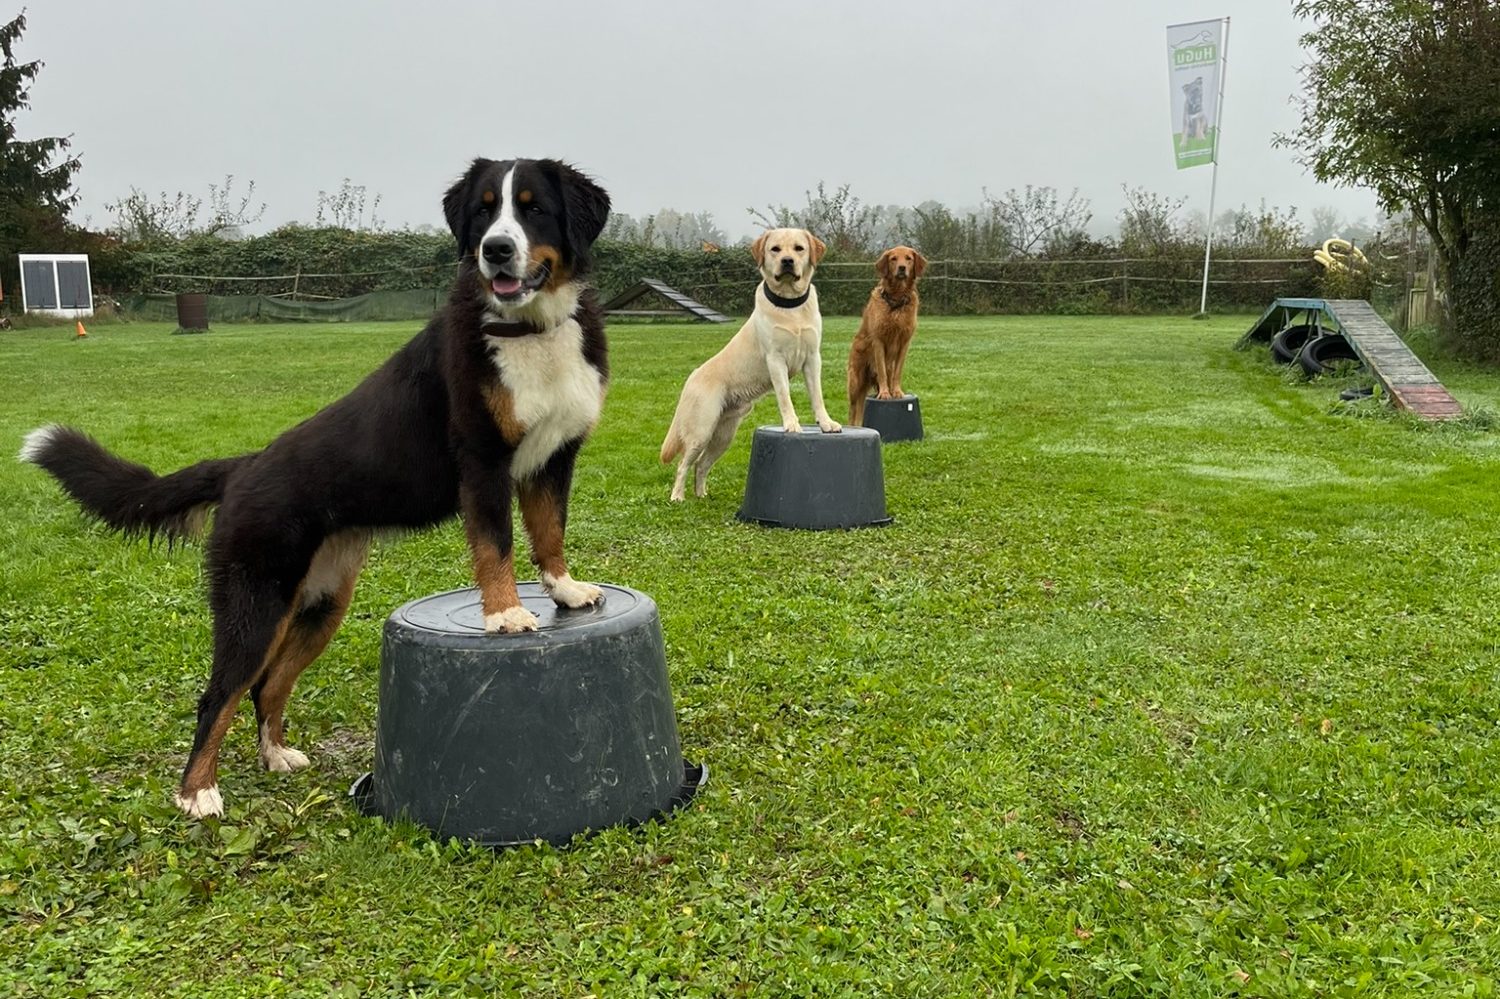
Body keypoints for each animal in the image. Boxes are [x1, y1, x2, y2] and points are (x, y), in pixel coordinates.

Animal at [19, 153, 615, 810]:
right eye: (485, 211)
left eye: (533, 209)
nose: (496, 250)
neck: (529, 330)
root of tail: (244, 465)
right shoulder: (481, 462)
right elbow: (496, 545)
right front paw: (505, 614)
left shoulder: (552, 459)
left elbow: (549, 532)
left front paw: (564, 590)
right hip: (256, 603)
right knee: (218, 695)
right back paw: (198, 793)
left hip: (321, 604)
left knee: (266, 687)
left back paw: (276, 755)